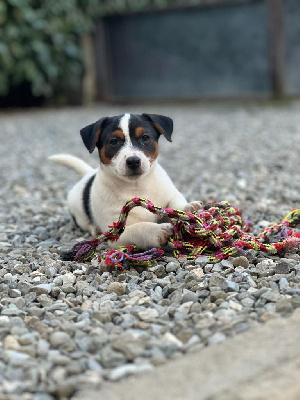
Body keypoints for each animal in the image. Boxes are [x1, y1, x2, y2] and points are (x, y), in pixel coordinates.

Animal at [50, 112, 202, 248]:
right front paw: (157, 230)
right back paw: (94, 228)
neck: (137, 186)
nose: (133, 161)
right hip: (78, 213)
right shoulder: (117, 233)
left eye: (145, 137)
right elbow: (139, 228)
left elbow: (175, 204)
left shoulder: (171, 194)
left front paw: (188, 208)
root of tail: (88, 174)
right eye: (113, 141)